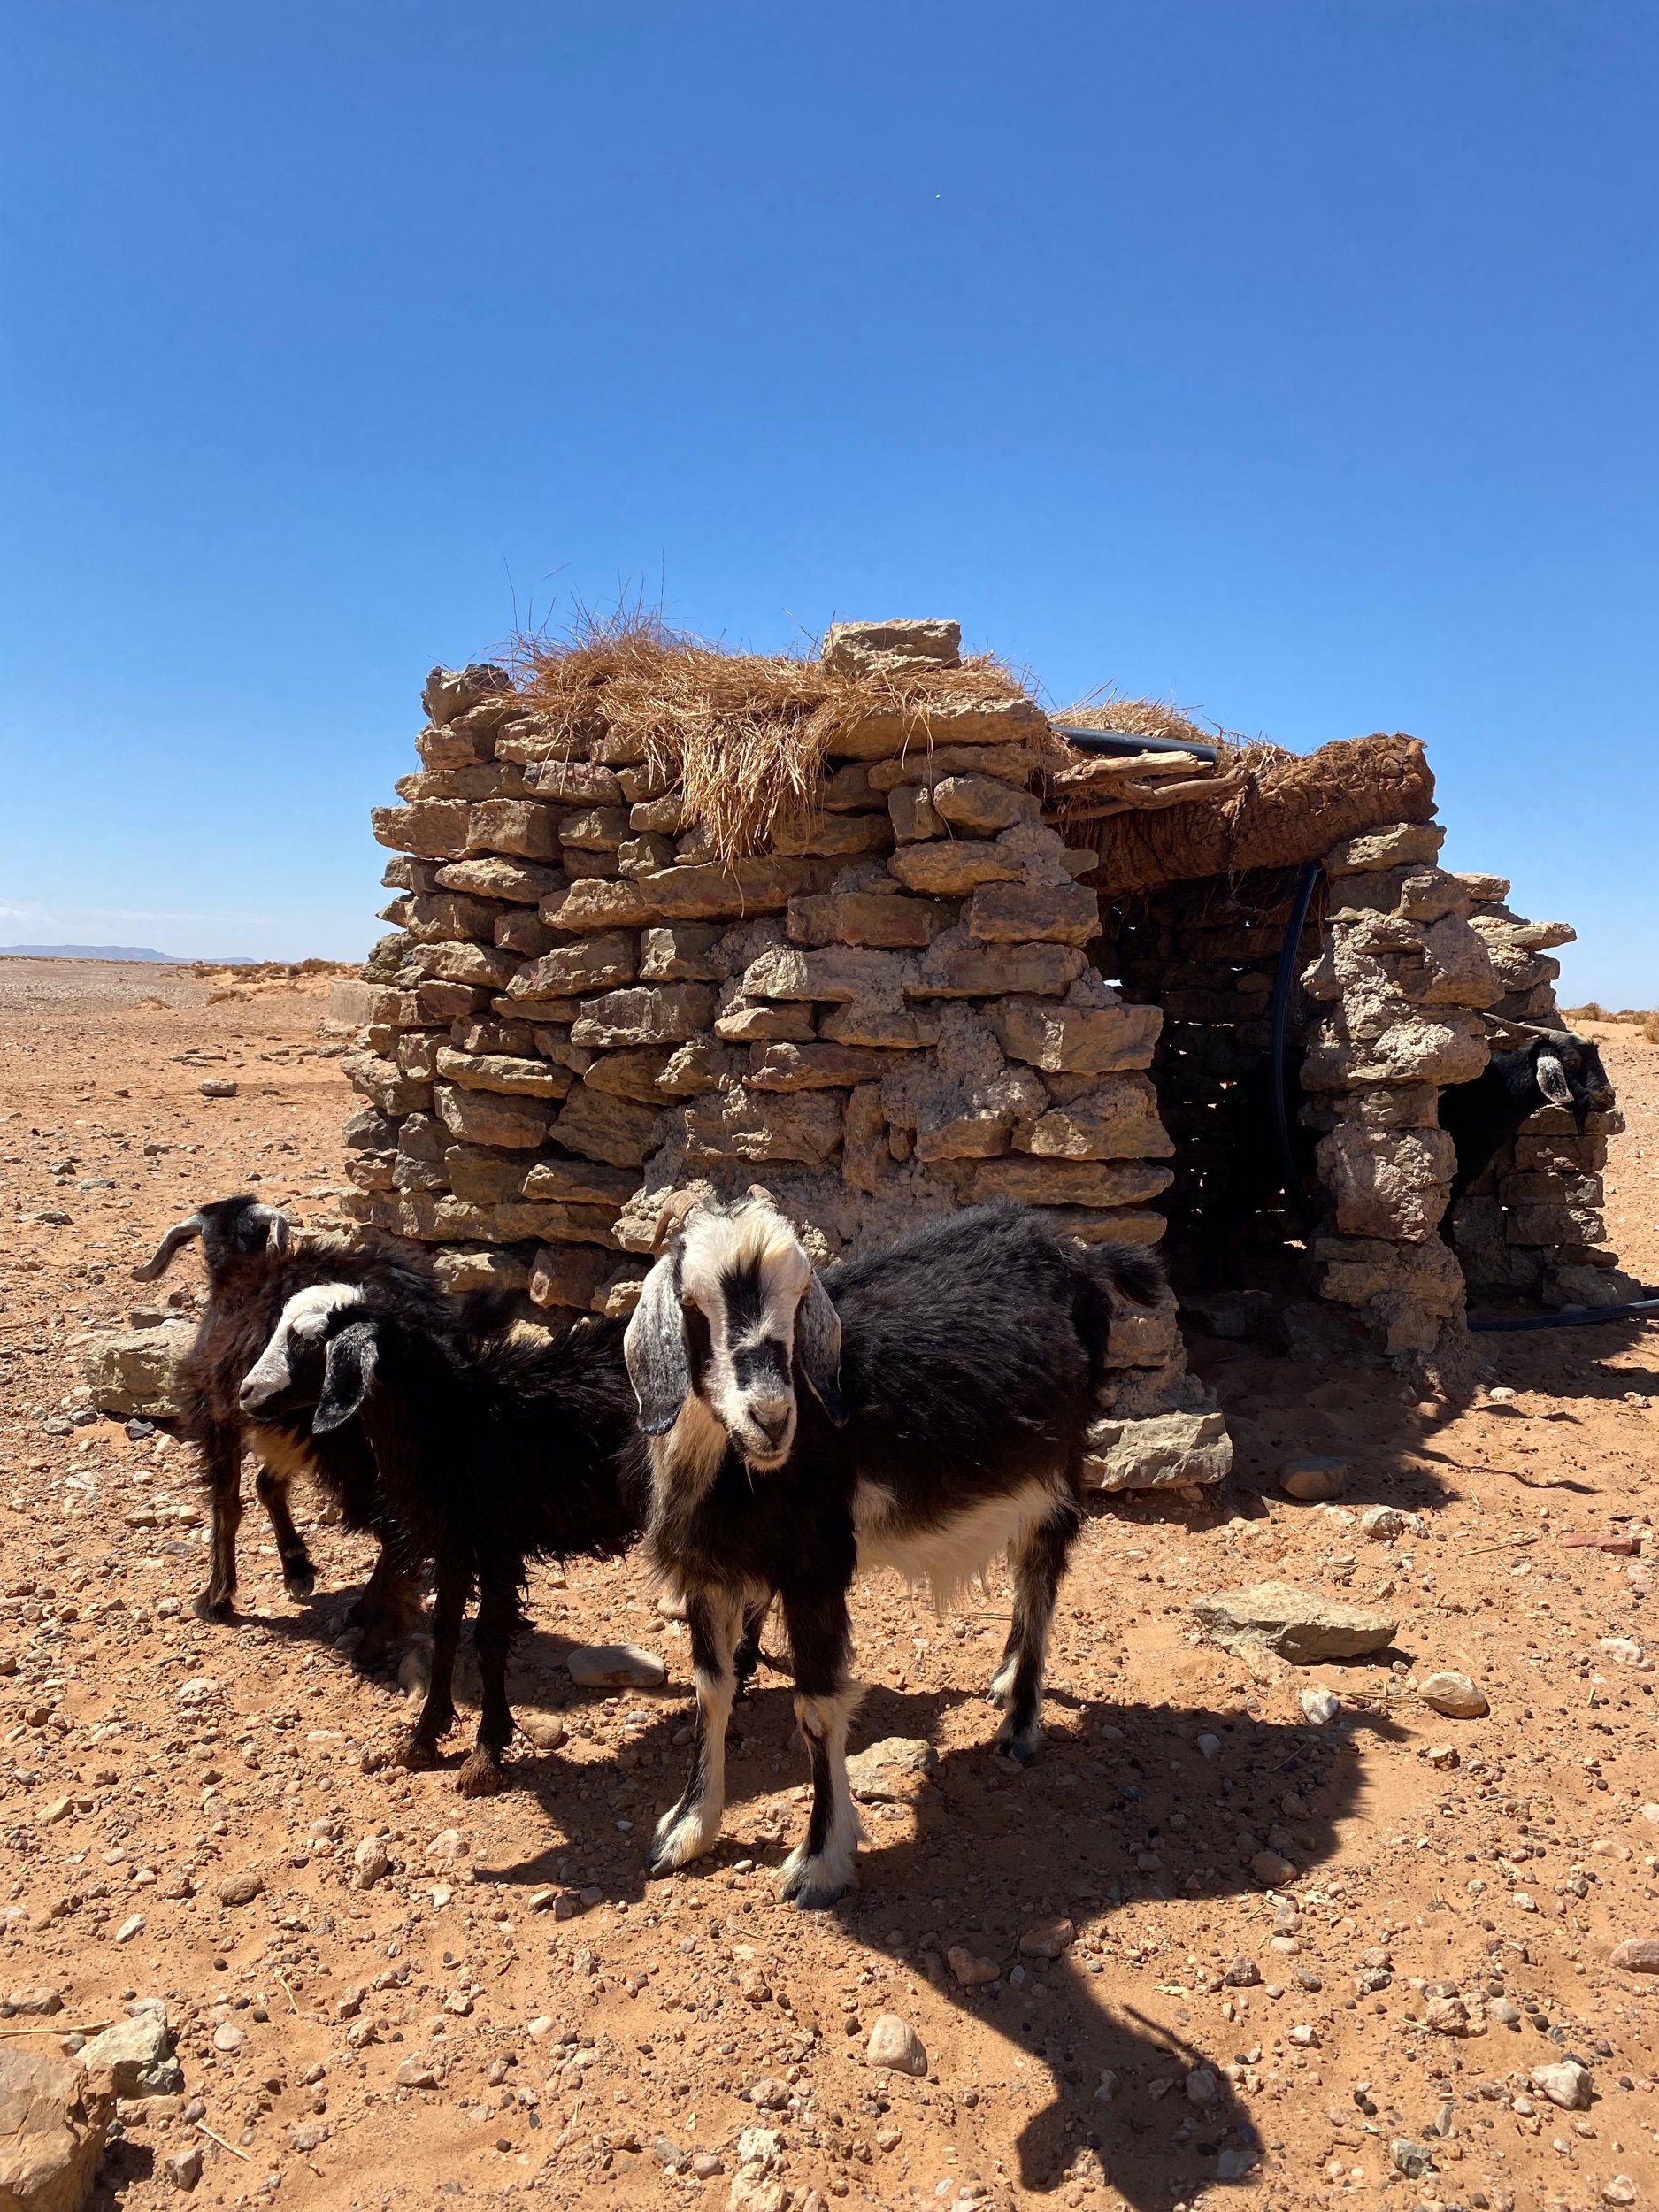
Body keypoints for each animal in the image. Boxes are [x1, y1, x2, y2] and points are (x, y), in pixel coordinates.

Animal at [131, 1194, 442, 1663]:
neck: (237, 1278)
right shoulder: (279, 1423)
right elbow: (267, 1484)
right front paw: (296, 1567)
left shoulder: (221, 1413)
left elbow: (227, 1503)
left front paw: (216, 1598)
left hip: (347, 1442)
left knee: (396, 1527)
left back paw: (375, 1630)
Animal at [236, 1283, 646, 1796]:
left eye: (309, 1341)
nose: (245, 1394)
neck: (466, 1420)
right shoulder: (453, 1546)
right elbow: (445, 1632)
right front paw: (423, 1738)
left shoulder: (497, 1546)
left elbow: (489, 1639)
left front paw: (486, 1754)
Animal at [624, 1194, 1168, 1902]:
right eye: (692, 1303)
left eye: (799, 1300)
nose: (771, 1418)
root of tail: (1083, 1253)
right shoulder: (708, 1574)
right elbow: (710, 1692)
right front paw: (686, 1829)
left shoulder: (816, 1566)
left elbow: (817, 1709)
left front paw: (819, 1861)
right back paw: (1004, 1675)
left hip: (1058, 1463)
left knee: (1039, 1572)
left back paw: (1021, 1722)